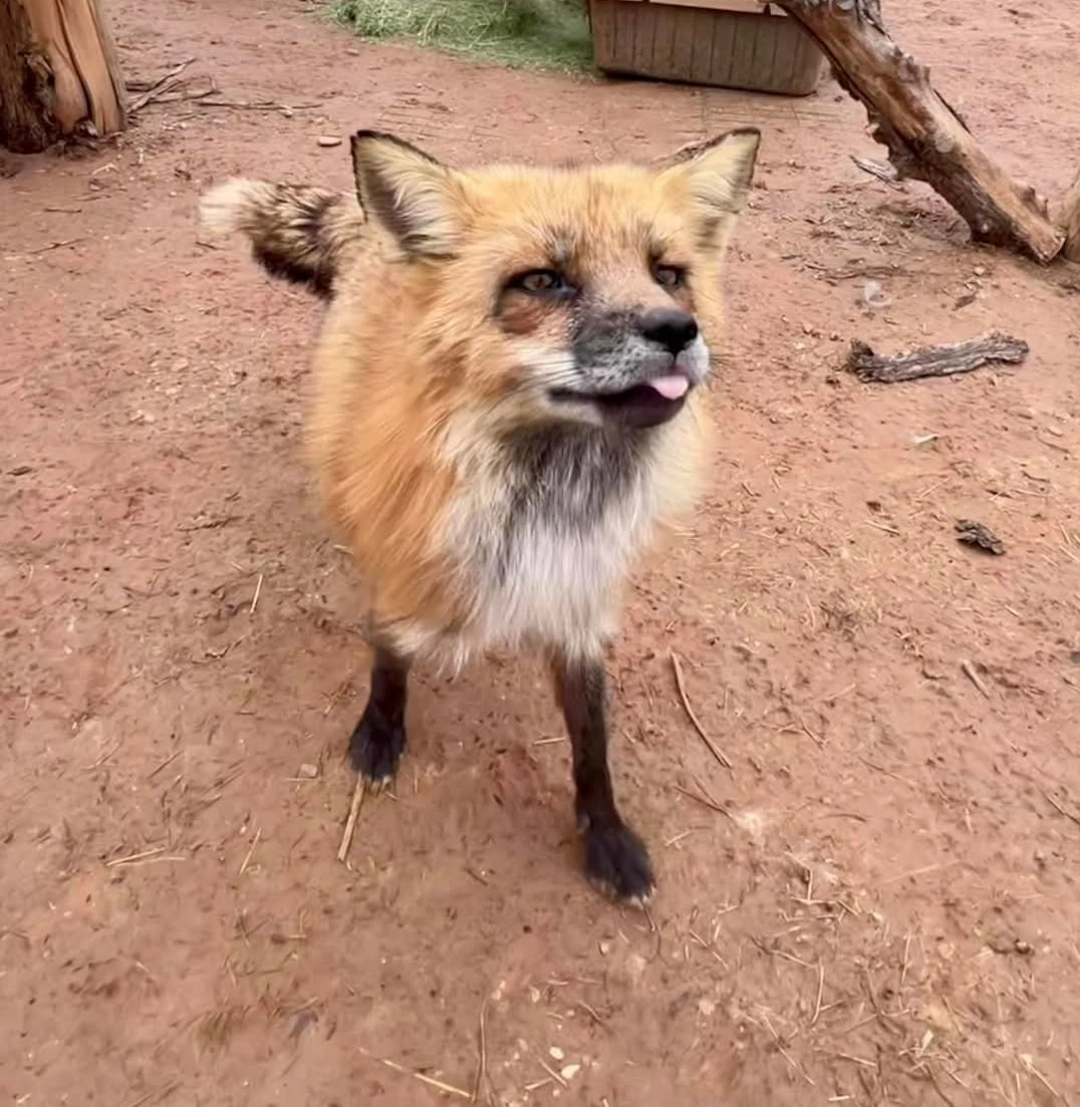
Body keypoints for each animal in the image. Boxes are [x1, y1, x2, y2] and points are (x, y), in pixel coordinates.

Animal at [199, 126, 760, 906]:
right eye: (543, 281)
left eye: (668, 273)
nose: (679, 329)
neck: (544, 500)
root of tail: (374, 235)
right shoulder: (402, 559)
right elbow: (388, 658)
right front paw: (379, 734)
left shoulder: (579, 596)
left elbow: (592, 743)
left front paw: (606, 835)